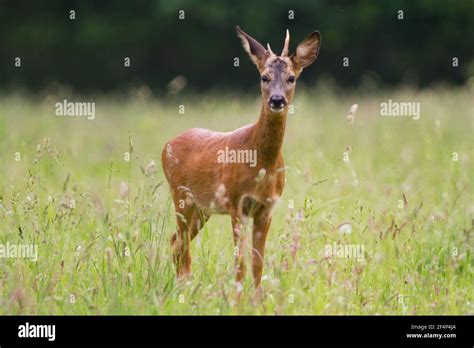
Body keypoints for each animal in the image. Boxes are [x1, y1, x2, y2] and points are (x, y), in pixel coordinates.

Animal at [161, 25, 320, 290]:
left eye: (291, 78)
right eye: (264, 77)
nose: (277, 99)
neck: (261, 162)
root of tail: (167, 144)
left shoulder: (266, 208)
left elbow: (257, 263)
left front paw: (256, 296)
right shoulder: (237, 204)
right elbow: (240, 263)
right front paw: (237, 295)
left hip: (203, 208)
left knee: (175, 241)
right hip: (181, 196)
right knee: (182, 246)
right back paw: (184, 285)